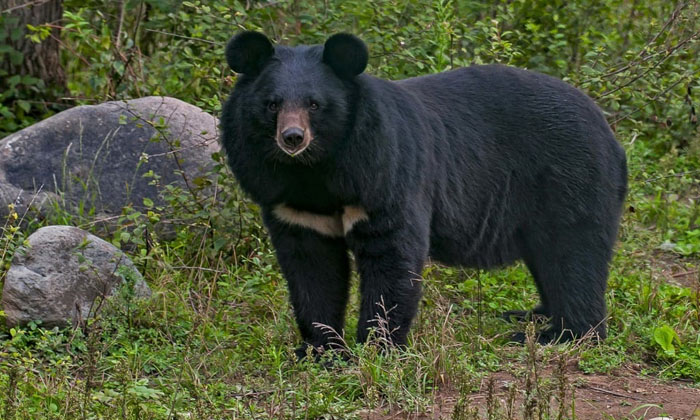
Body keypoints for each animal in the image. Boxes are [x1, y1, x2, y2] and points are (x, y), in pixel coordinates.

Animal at [220, 32, 628, 358]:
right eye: (272, 104)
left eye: (315, 104)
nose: (292, 138)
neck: (315, 171)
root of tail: (609, 131)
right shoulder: (291, 203)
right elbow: (311, 268)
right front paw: (321, 349)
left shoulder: (382, 174)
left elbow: (391, 255)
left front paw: (377, 347)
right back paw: (531, 315)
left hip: (570, 179)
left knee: (573, 255)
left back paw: (562, 334)